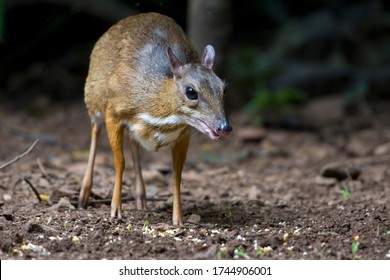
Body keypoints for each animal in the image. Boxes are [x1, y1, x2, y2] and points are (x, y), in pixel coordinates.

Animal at [79, 12, 232, 225]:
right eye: (191, 92)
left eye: (223, 89)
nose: (224, 127)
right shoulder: (113, 112)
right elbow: (119, 162)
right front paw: (115, 210)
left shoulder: (185, 133)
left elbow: (177, 173)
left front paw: (178, 219)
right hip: (93, 97)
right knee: (95, 132)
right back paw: (83, 195)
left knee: (134, 144)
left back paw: (141, 199)